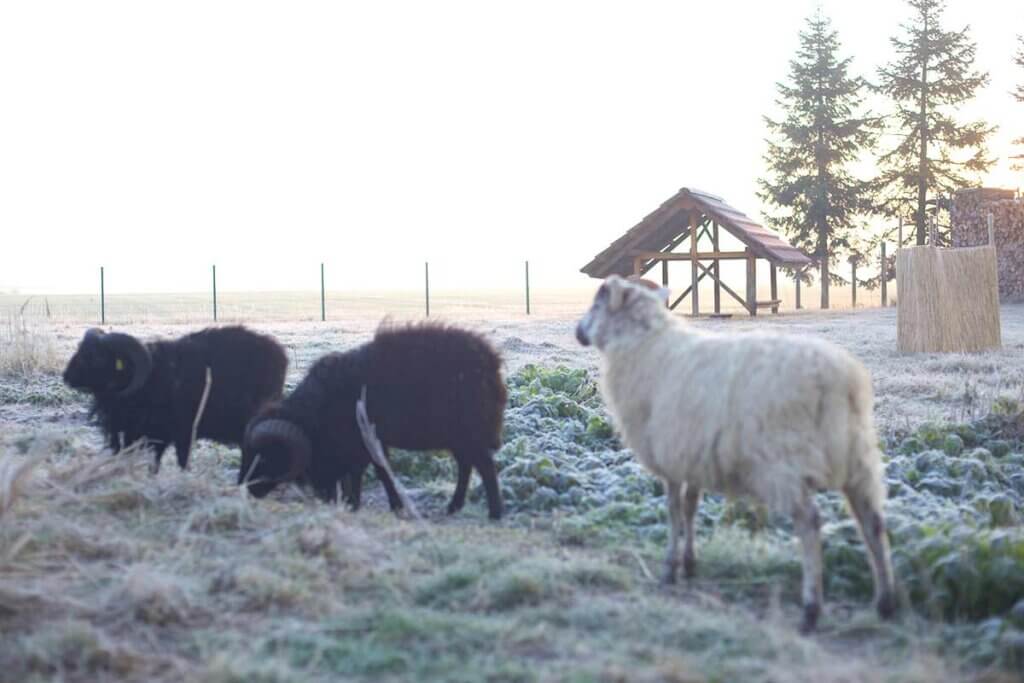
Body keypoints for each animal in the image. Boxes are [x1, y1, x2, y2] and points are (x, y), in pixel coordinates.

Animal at [64, 325, 288, 471]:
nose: (66, 376)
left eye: (97, 356)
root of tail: (279, 353)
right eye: (80, 349)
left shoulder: (178, 434)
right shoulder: (141, 435)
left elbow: (179, 461)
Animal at [243, 323, 507, 520]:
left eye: (264, 456)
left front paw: (377, 505)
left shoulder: (362, 442)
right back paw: (454, 507)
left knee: (484, 466)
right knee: (467, 465)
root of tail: (491, 362)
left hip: (468, 431)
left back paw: (494, 513)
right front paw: (356, 503)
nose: (244, 488)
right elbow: (365, 473)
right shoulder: (365, 443)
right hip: (459, 436)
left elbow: (373, 472)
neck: (318, 412)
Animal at [577, 274, 897, 634]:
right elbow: (690, 508)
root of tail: (839, 381)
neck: (644, 342)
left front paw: (670, 569)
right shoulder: (693, 453)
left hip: (783, 462)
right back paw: (885, 603)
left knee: (810, 525)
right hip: (858, 458)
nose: (578, 330)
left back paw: (811, 610)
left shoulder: (671, 455)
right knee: (873, 523)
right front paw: (689, 563)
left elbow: (673, 512)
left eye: (596, 303)